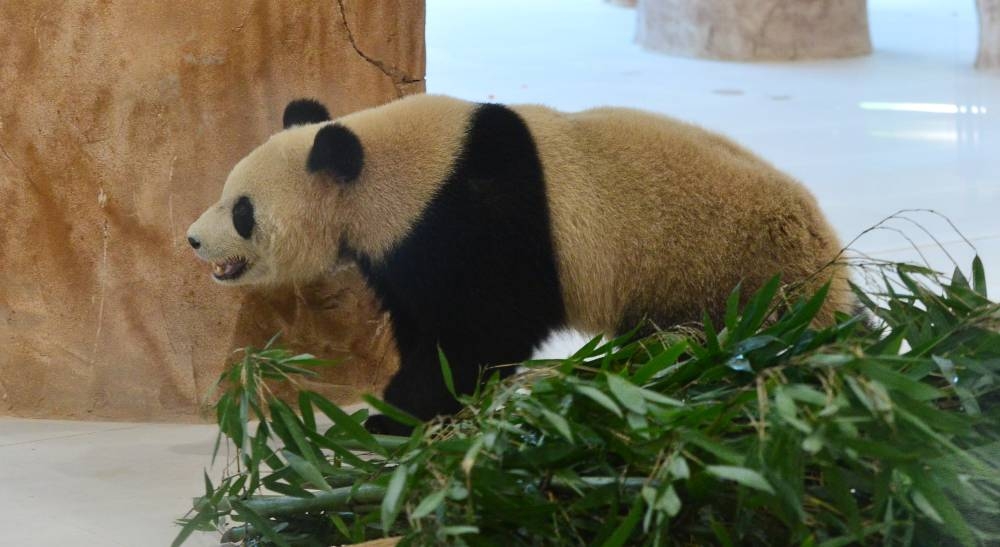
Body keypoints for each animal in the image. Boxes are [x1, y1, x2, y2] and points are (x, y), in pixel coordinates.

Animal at [187, 94, 853, 434]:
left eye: (242, 211)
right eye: (224, 194)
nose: (193, 240)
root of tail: (832, 265)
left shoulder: (478, 219)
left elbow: (483, 332)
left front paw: (398, 410)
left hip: (726, 276)